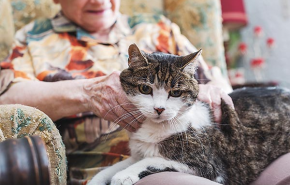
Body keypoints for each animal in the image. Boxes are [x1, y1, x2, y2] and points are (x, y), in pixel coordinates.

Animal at [88, 43, 290, 185]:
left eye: (176, 93)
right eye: (145, 89)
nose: (159, 109)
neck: (153, 129)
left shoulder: (208, 167)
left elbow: (155, 160)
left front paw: (123, 175)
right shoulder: (137, 153)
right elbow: (110, 168)